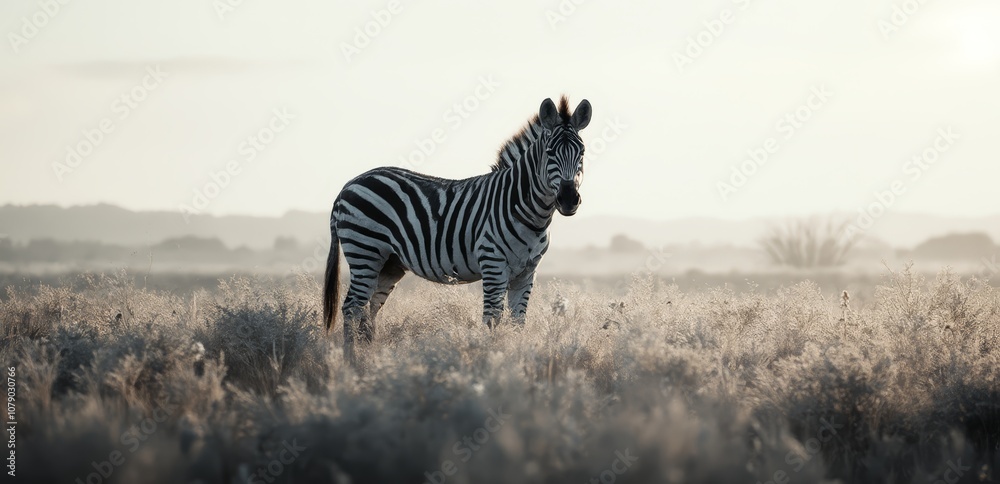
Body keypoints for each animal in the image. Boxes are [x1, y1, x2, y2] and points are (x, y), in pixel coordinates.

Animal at [323, 96, 592, 360]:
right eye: (550, 152)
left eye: (582, 152)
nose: (569, 199)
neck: (528, 212)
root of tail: (349, 184)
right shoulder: (493, 264)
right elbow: (492, 319)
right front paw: (489, 359)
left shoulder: (527, 272)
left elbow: (518, 323)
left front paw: (514, 359)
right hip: (364, 249)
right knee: (352, 307)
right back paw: (351, 362)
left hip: (389, 262)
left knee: (370, 308)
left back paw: (368, 358)